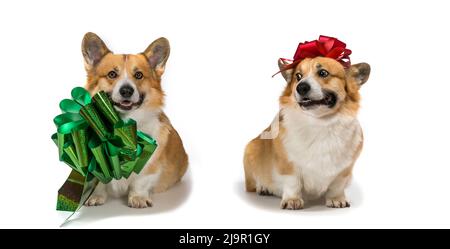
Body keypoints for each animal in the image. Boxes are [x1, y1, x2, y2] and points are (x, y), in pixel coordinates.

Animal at [80, 32, 186, 208]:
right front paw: (96, 196)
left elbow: (140, 181)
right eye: (112, 74)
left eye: (139, 75)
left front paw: (138, 198)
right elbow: (100, 181)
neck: (122, 125)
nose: (126, 91)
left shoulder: (151, 165)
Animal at [243, 36, 370, 208]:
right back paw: (263, 187)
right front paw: (292, 200)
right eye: (298, 76)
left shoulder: (344, 170)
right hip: (251, 150)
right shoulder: (288, 165)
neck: (320, 123)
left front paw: (337, 199)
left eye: (323, 73)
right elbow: (293, 182)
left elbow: (337, 185)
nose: (301, 87)